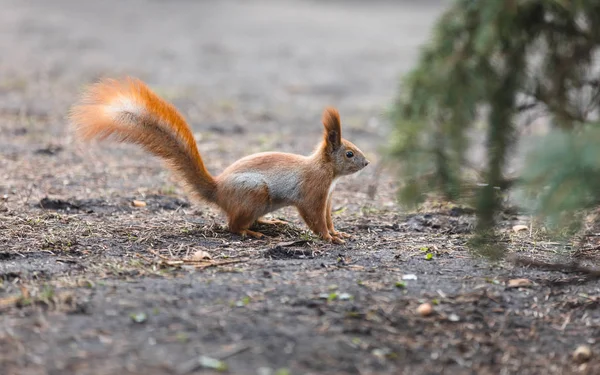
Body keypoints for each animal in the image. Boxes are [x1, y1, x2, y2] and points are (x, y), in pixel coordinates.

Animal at [70, 78, 370, 245]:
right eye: (349, 153)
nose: (367, 164)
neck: (326, 171)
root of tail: (218, 191)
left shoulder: (326, 198)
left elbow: (328, 218)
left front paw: (338, 233)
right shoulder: (312, 193)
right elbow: (315, 219)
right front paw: (329, 238)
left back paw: (271, 223)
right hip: (253, 192)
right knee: (234, 226)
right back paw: (253, 233)